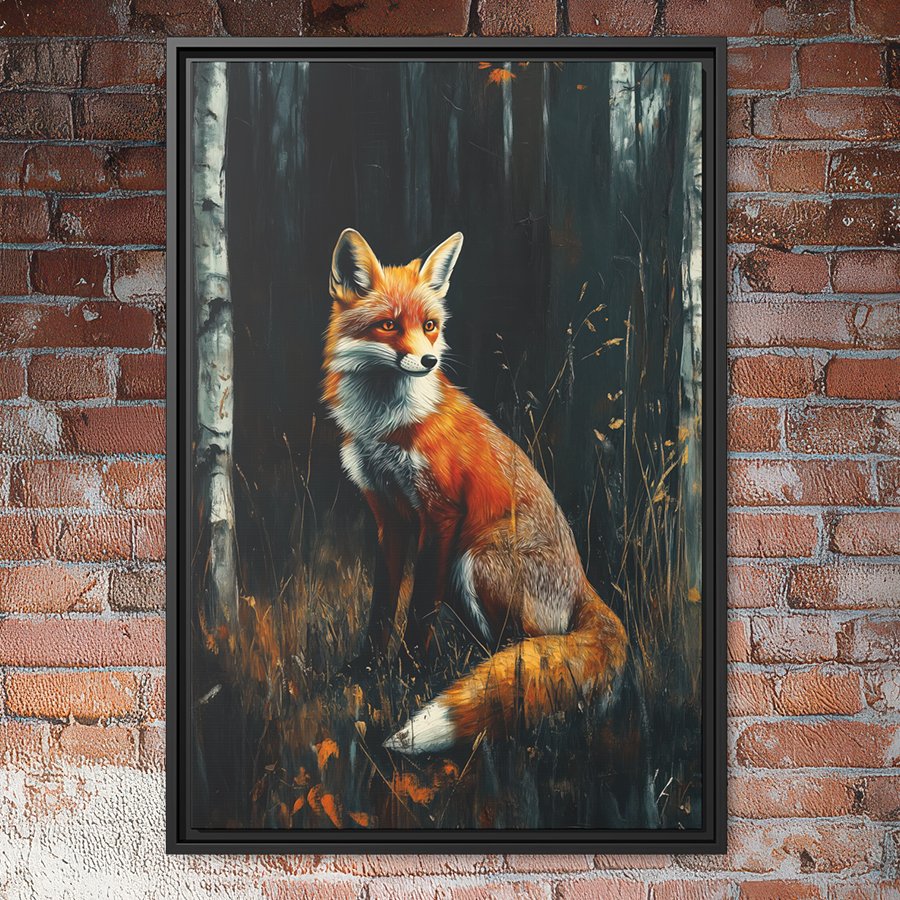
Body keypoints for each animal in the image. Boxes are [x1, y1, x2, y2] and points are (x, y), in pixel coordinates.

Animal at [322, 227, 628, 755]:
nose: (428, 360)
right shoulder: (389, 517)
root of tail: (584, 582)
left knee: (530, 650)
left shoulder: (441, 512)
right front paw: (366, 669)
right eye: (388, 325)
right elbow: (383, 603)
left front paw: (409, 673)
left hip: (476, 560)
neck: (385, 427)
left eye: (429, 325)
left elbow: (419, 607)